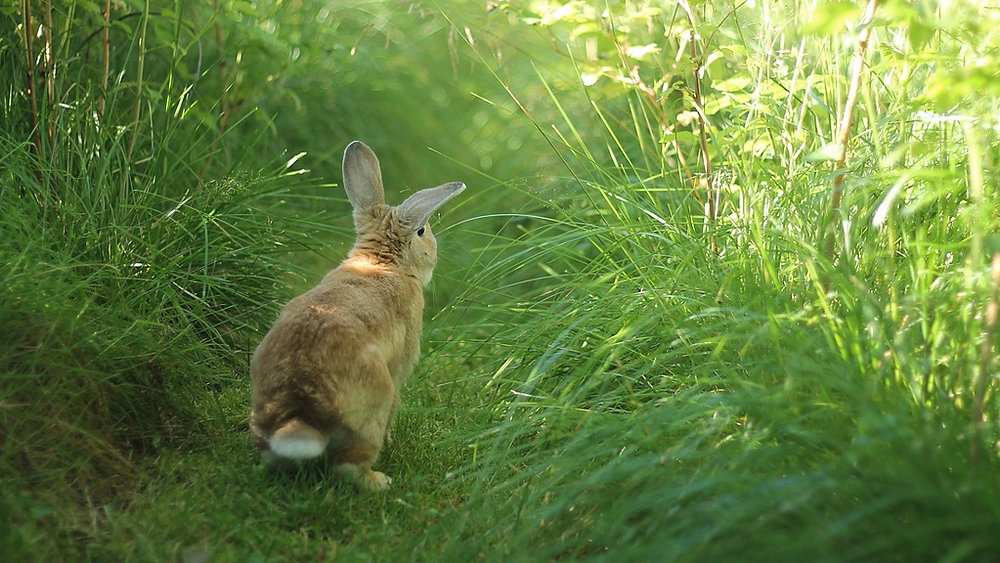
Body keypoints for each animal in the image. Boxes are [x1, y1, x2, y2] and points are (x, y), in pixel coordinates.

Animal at [250, 140, 464, 491]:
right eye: (422, 231)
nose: (434, 253)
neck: (383, 261)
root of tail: (299, 404)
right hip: (374, 403)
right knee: (350, 465)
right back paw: (379, 481)